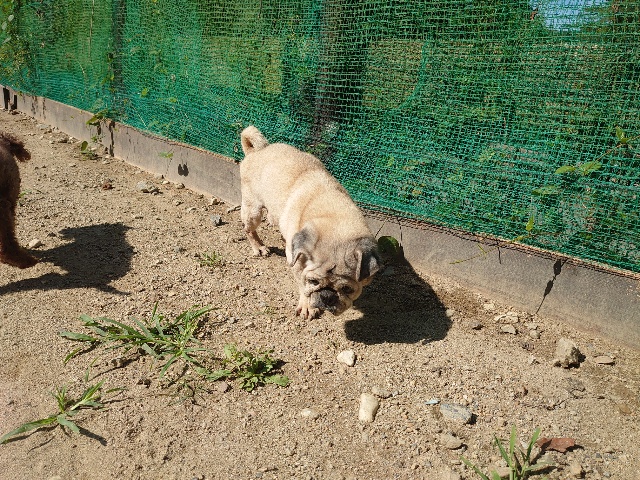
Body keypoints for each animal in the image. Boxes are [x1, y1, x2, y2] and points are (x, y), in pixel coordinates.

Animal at [240, 126, 380, 319]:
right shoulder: (299, 265)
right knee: (249, 229)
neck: (332, 214)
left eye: (347, 289)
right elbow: (302, 285)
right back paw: (259, 247)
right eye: (313, 281)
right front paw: (307, 306)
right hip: (253, 211)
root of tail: (257, 151)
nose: (327, 296)